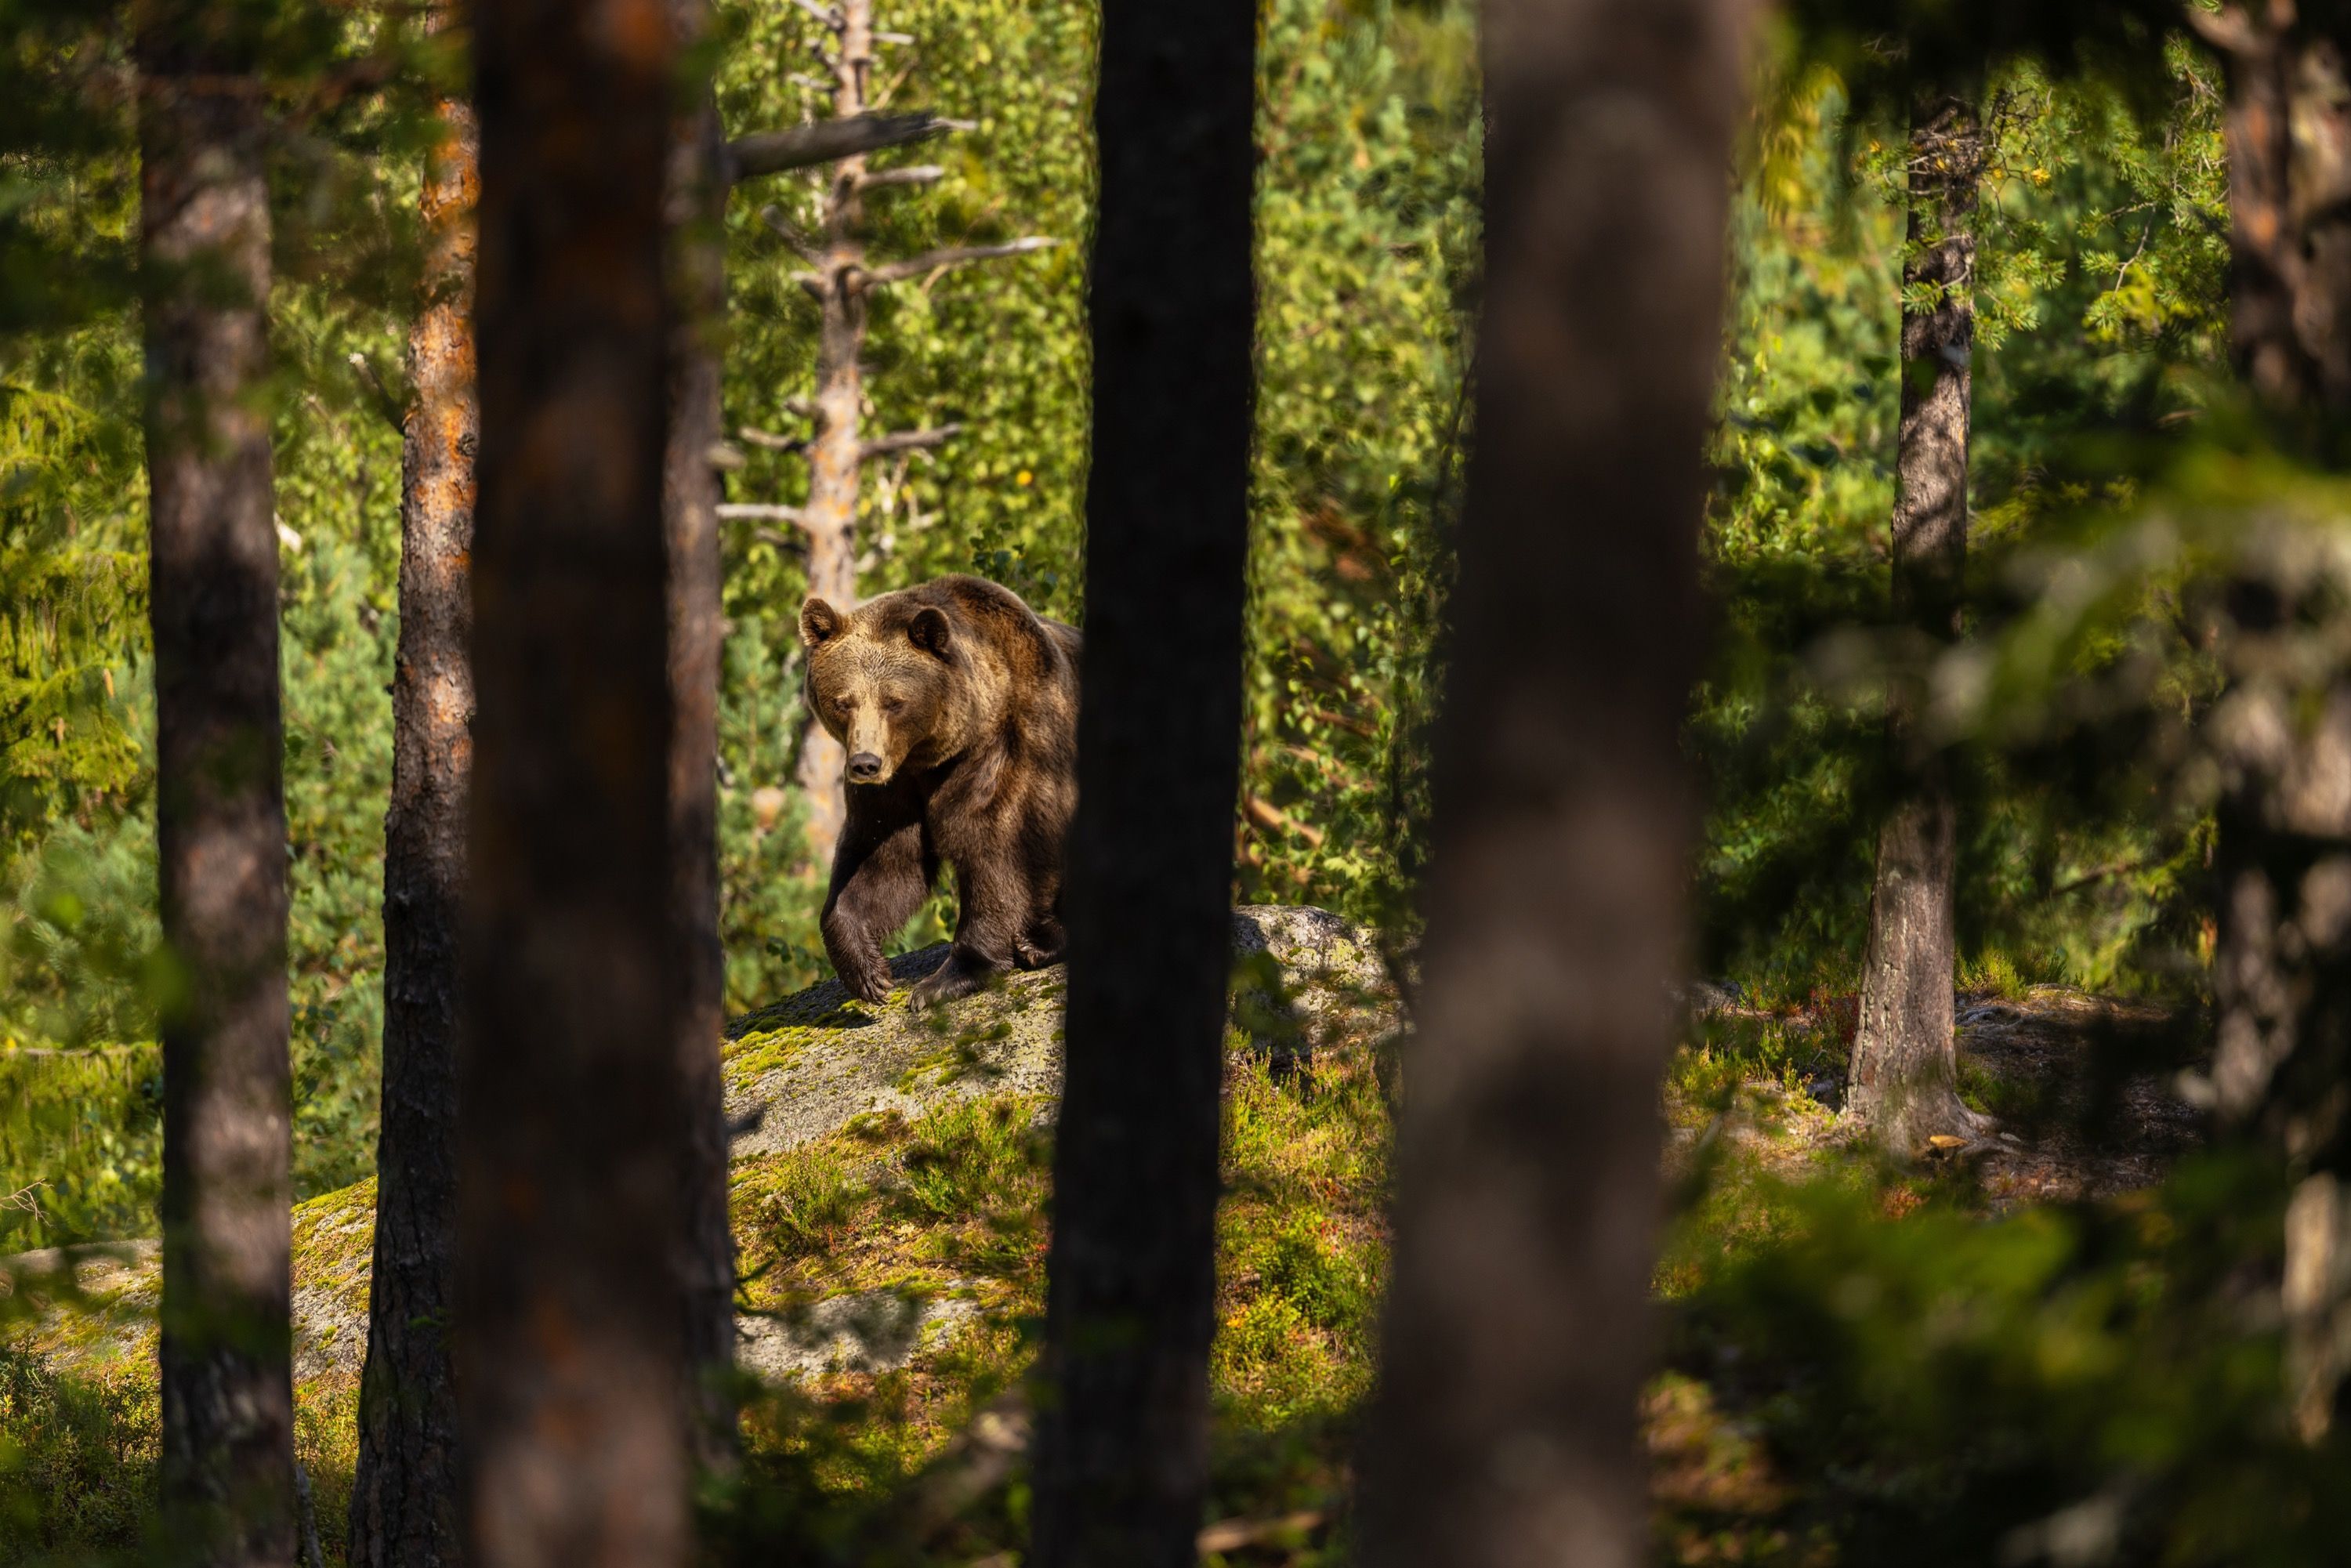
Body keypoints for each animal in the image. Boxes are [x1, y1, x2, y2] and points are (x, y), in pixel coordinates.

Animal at [798, 573, 1080, 1008]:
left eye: (894, 702)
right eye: (843, 702)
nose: (865, 763)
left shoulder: (1012, 751)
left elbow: (1000, 851)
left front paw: (948, 978)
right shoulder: (896, 788)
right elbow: (883, 860)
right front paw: (869, 973)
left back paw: (1038, 942)